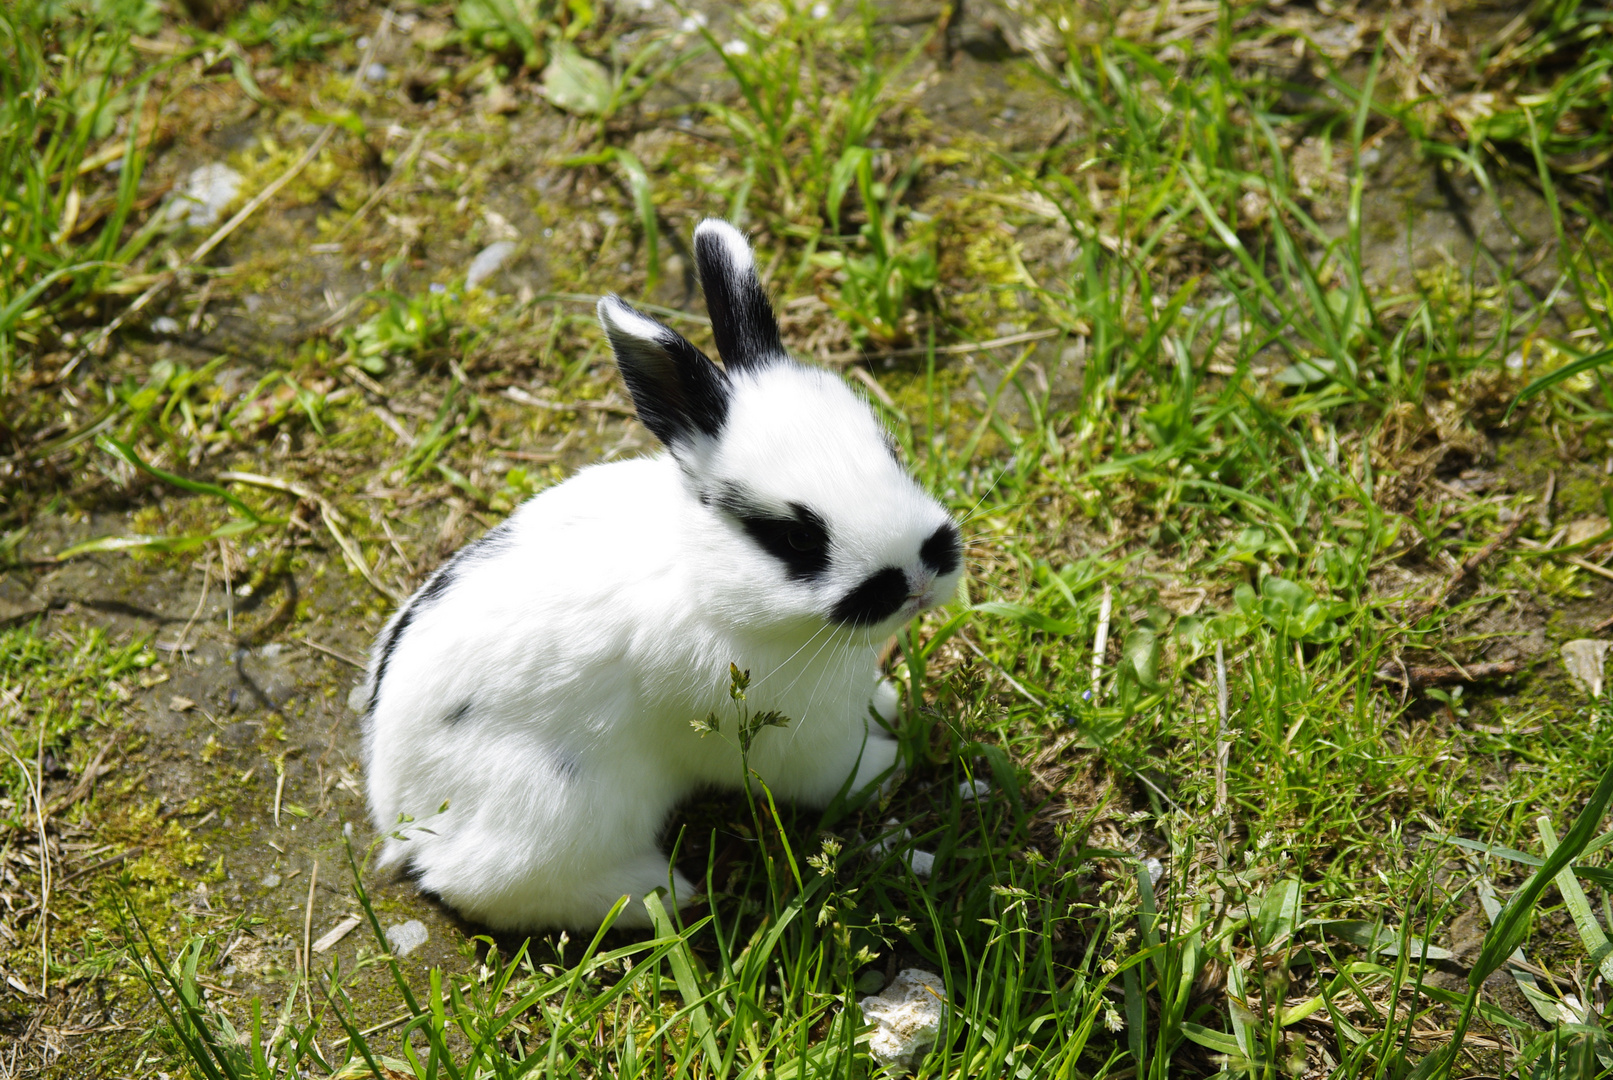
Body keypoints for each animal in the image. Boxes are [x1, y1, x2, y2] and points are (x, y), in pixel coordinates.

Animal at [361, 219, 961, 928]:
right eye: (794, 537)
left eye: (889, 449)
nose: (918, 576)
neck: (707, 583)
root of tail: (401, 815)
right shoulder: (793, 743)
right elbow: (837, 771)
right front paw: (894, 764)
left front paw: (893, 710)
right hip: (562, 805)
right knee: (490, 884)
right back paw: (660, 893)